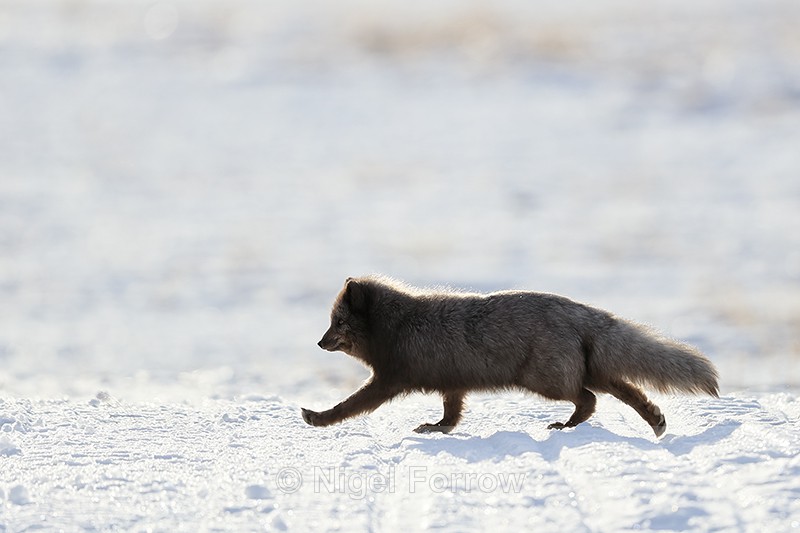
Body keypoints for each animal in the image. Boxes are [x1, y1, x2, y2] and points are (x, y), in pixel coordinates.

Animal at [300, 274, 720, 436]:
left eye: (338, 323)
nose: (318, 343)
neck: (399, 326)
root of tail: (578, 310)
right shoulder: (452, 384)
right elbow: (451, 416)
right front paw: (437, 429)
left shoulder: (388, 381)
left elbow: (350, 404)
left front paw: (317, 418)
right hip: (583, 371)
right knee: (622, 390)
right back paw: (656, 421)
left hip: (547, 381)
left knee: (590, 398)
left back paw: (567, 426)